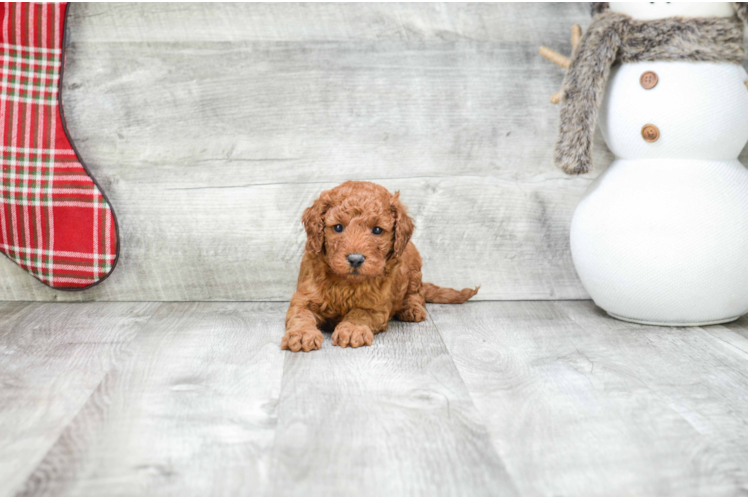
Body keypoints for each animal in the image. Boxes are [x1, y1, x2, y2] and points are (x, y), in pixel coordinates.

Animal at [280, 181, 480, 352]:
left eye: (377, 230)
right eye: (337, 227)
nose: (355, 259)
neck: (346, 282)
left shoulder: (376, 306)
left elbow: (360, 313)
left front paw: (352, 329)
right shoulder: (304, 296)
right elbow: (300, 314)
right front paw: (301, 334)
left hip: (414, 268)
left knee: (416, 294)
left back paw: (411, 309)